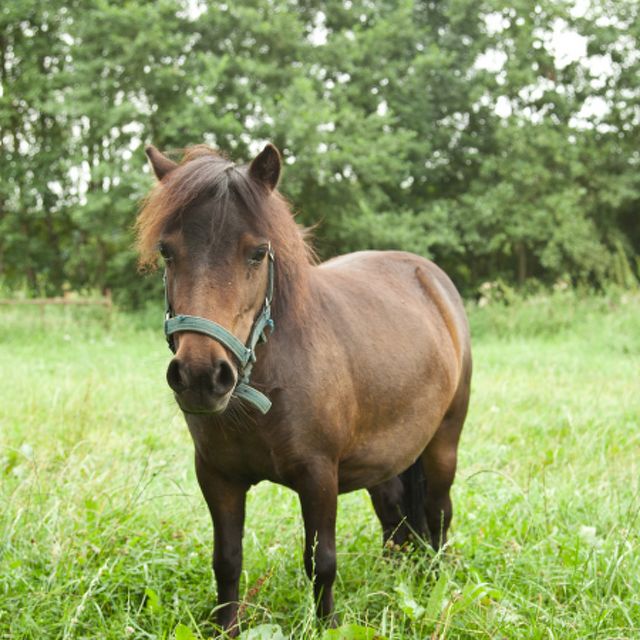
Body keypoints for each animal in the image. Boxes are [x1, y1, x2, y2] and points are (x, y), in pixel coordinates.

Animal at [136, 142, 472, 636]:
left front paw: (327, 625)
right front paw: (227, 627)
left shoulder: (319, 477)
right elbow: (227, 561)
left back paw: (435, 582)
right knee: (393, 514)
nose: (200, 376)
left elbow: (322, 562)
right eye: (167, 251)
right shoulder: (217, 477)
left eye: (257, 253)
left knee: (437, 512)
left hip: (444, 440)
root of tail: (431, 278)